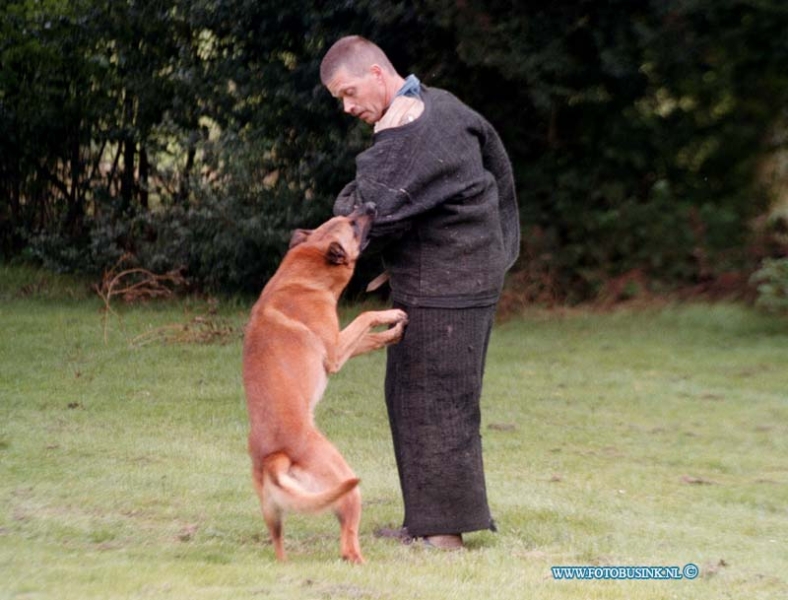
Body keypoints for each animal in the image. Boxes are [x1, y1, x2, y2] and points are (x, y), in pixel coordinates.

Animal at [243, 204, 406, 564]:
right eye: (353, 224)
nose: (371, 206)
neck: (303, 277)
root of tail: (275, 455)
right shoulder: (335, 352)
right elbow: (366, 317)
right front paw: (393, 318)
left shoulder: (341, 345)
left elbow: (369, 338)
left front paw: (390, 333)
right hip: (347, 486)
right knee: (348, 547)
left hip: (275, 511)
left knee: (280, 545)